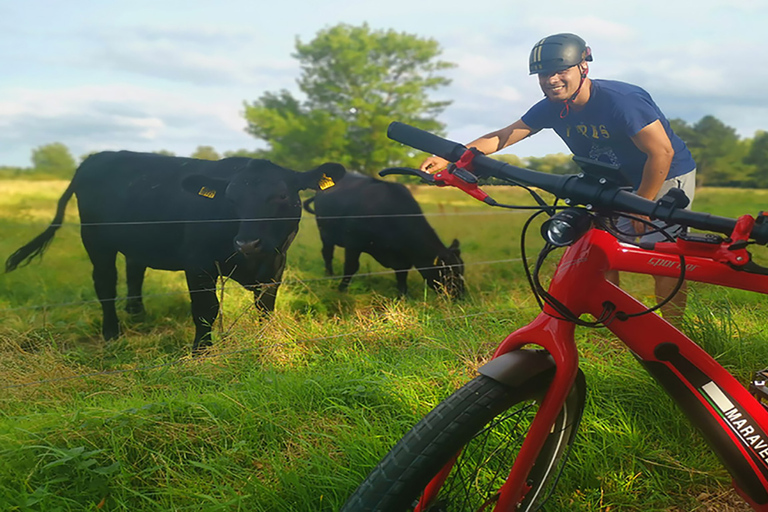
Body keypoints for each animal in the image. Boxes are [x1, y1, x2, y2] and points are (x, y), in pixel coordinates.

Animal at [6, 151, 344, 352]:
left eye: (282, 196)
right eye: (231, 198)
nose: (246, 243)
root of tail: (96, 157)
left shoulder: (276, 265)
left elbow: (265, 308)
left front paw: (265, 342)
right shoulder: (197, 265)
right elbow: (206, 310)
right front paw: (201, 352)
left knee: (134, 271)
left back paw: (138, 315)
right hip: (95, 240)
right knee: (105, 284)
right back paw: (112, 333)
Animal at [304, 173, 464, 298]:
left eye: (461, 270)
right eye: (448, 273)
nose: (460, 296)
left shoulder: (402, 256)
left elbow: (402, 273)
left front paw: (403, 295)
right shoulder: (353, 244)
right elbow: (351, 267)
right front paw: (341, 289)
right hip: (325, 234)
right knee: (327, 253)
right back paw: (329, 274)